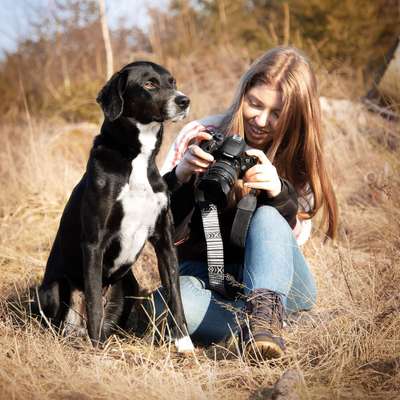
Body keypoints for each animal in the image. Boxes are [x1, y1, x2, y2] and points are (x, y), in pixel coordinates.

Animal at [35, 61, 195, 352]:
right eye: (149, 84)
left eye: (172, 81)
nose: (183, 100)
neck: (136, 158)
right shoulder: (93, 243)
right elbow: (94, 303)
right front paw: (97, 350)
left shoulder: (165, 240)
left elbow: (175, 294)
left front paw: (184, 342)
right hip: (51, 289)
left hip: (128, 287)